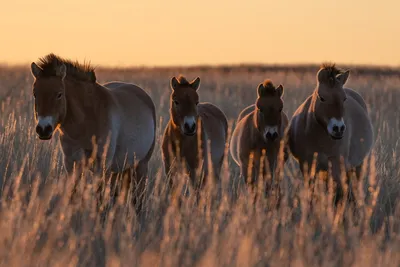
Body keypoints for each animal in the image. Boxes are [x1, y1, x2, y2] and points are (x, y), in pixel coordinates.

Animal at [29, 54, 156, 214]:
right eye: (35, 94)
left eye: (59, 94)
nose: (43, 129)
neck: (86, 121)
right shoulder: (71, 163)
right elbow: (73, 194)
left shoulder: (101, 166)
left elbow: (99, 199)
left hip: (141, 165)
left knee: (137, 199)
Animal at [288, 63, 376, 206]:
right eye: (322, 97)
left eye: (344, 98)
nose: (338, 128)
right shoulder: (307, 166)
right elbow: (311, 193)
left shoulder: (336, 165)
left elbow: (337, 195)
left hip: (357, 166)